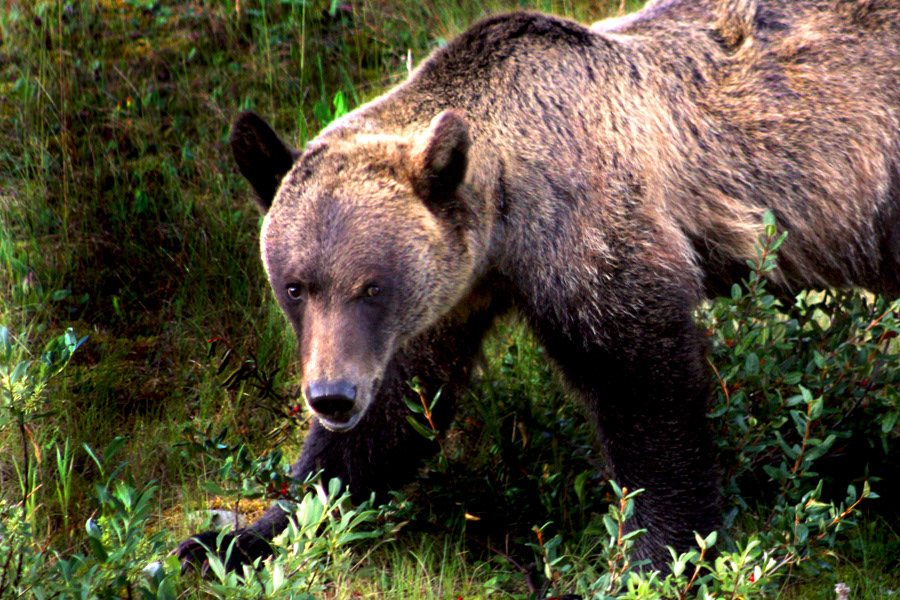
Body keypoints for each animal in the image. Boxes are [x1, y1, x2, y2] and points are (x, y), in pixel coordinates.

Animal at [177, 0, 900, 573]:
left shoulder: (586, 226)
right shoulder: (448, 295)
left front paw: (660, 554)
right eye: (296, 286)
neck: (504, 211)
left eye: (372, 286)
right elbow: (394, 418)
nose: (330, 395)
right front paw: (234, 538)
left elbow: (645, 384)